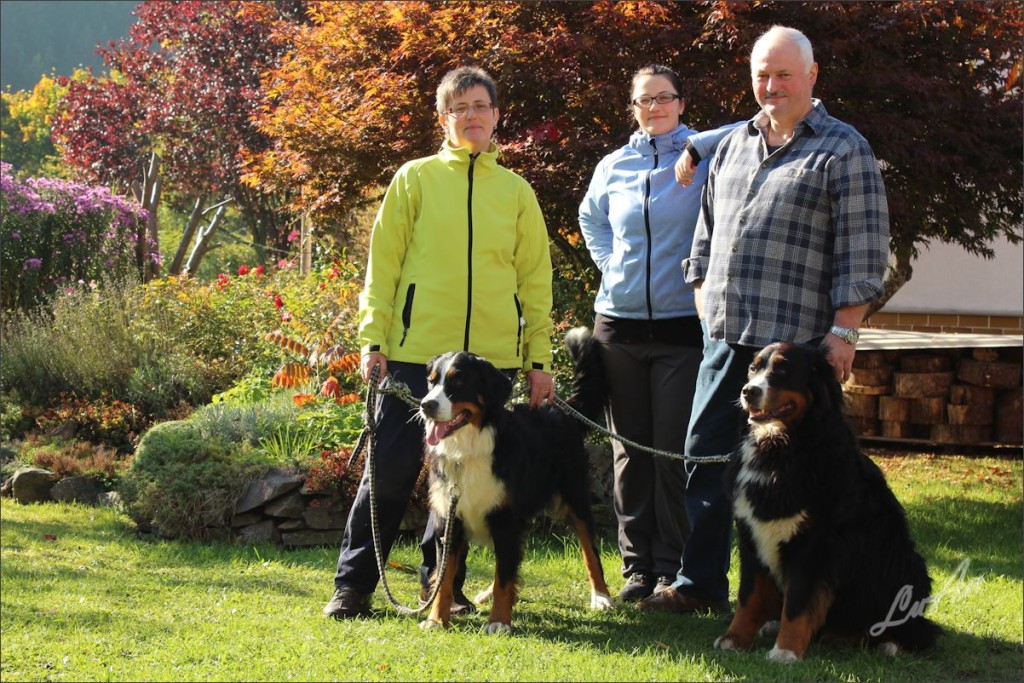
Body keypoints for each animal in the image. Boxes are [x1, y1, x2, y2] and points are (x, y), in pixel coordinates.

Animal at [417, 327, 610, 634]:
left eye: (458, 381)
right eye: (431, 381)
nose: (427, 405)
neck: (466, 449)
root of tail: (561, 411)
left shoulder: (505, 517)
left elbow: (505, 576)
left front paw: (498, 621)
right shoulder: (450, 518)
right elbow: (445, 576)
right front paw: (436, 619)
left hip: (575, 496)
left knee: (590, 550)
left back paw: (602, 597)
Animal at [716, 342, 937, 663]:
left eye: (783, 369)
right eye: (753, 368)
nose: (749, 391)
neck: (780, 449)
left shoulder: (815, 544)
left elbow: (798, 603)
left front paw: (786, 651)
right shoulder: (750, 535)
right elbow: (749, 595)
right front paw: (734, 638)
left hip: (907, 567)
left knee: (921, 630)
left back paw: (890, 643)